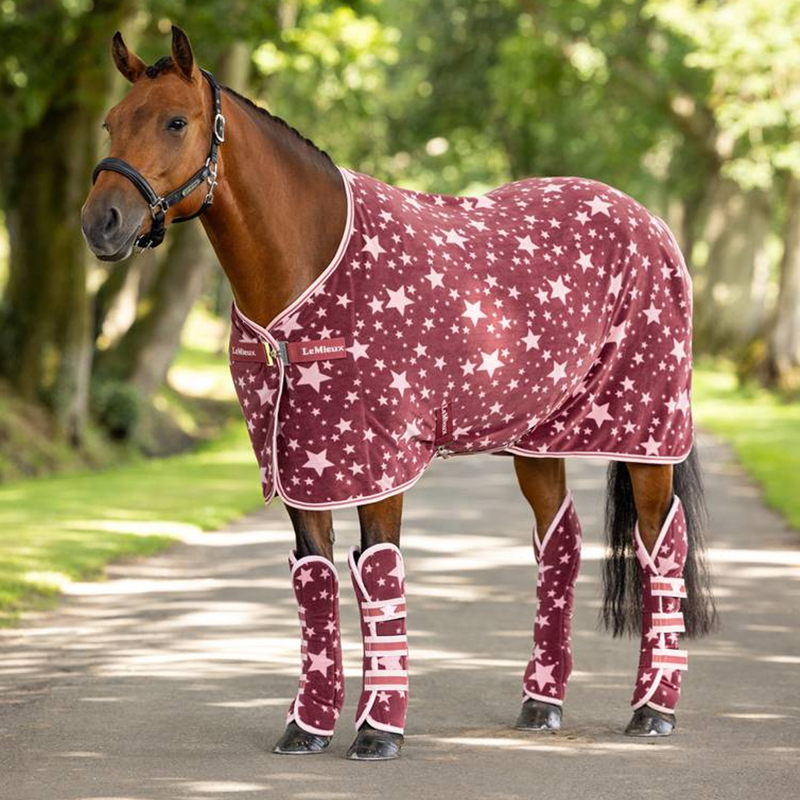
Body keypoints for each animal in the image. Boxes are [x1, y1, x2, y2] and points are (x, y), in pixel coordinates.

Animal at [81, 27, 716, 761]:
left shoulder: (376, 464)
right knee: (559, 541)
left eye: (176, 122)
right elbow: (316, 580)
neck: (310, 274)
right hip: (536, 441)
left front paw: (378, 731)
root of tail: (648, 221)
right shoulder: (305, 466)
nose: (101, 223)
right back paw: (540, 704)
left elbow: (379, 574)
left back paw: (653, 710)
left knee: (660, 545)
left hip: (648, 436)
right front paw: (306, 727)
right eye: (110, 122)